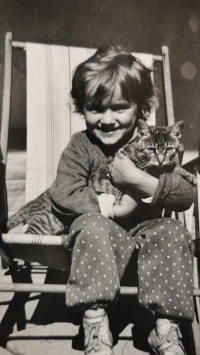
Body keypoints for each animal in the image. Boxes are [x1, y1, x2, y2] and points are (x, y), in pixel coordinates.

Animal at [7, 121, 196, 235]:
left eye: (169, 149)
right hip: (44, 224)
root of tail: (35, 200)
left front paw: (188, 174)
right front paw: (185, 173)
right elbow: (168, 170)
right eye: (151, 149)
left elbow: (172, 167)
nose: (161, 159)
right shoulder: (147, 168)